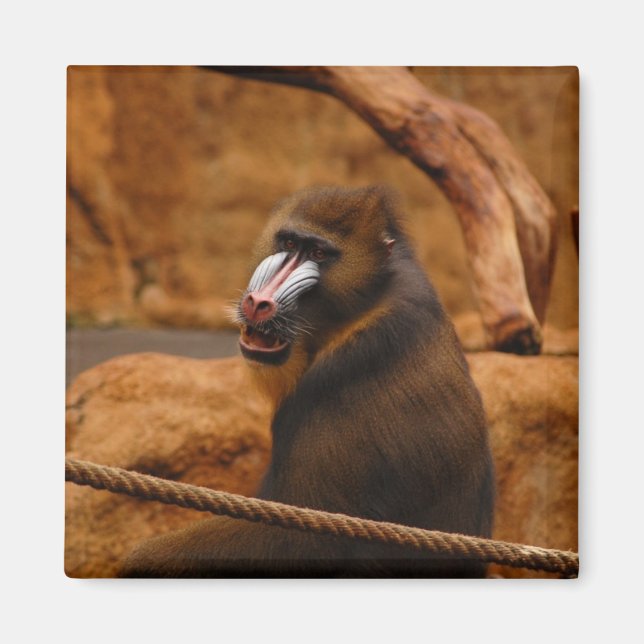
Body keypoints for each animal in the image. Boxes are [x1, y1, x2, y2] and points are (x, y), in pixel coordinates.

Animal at [119, 185, 495, 578]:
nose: (258, 302)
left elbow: (303, 537)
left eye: (318, 253)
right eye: (288, 242)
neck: (358, 307)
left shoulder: (343, 374)